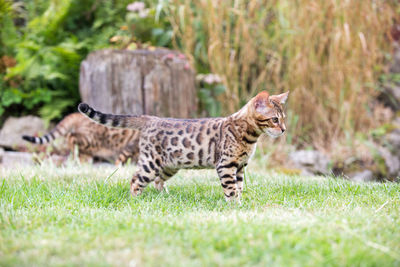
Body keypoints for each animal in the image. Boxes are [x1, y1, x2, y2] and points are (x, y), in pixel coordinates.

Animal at [78, 91, 290, 201]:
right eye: (274, 119)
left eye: (283, 118)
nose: (284, 129)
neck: (249, 136)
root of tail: (151, 118)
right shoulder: (226, 165)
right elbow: (230, 188)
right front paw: (234, 205)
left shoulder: (240, 167)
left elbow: (239, 186)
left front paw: (241, 202)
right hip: (150, 162)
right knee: (135, 179)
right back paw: (135, 199)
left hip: (170, 165)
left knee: (158, 181)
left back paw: (165, 197)